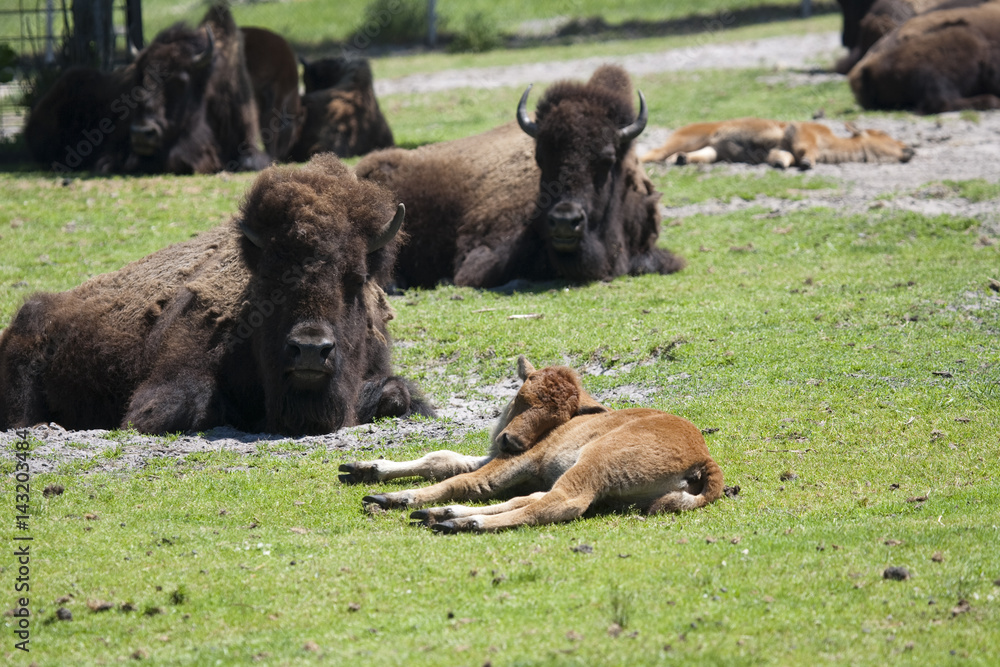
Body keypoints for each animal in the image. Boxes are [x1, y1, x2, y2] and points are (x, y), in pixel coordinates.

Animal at [0, 154, 434, 435]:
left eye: (356, 278)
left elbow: (396, 394)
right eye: (269, 279)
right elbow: (190, 404)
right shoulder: (165, 390)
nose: (311, 350)